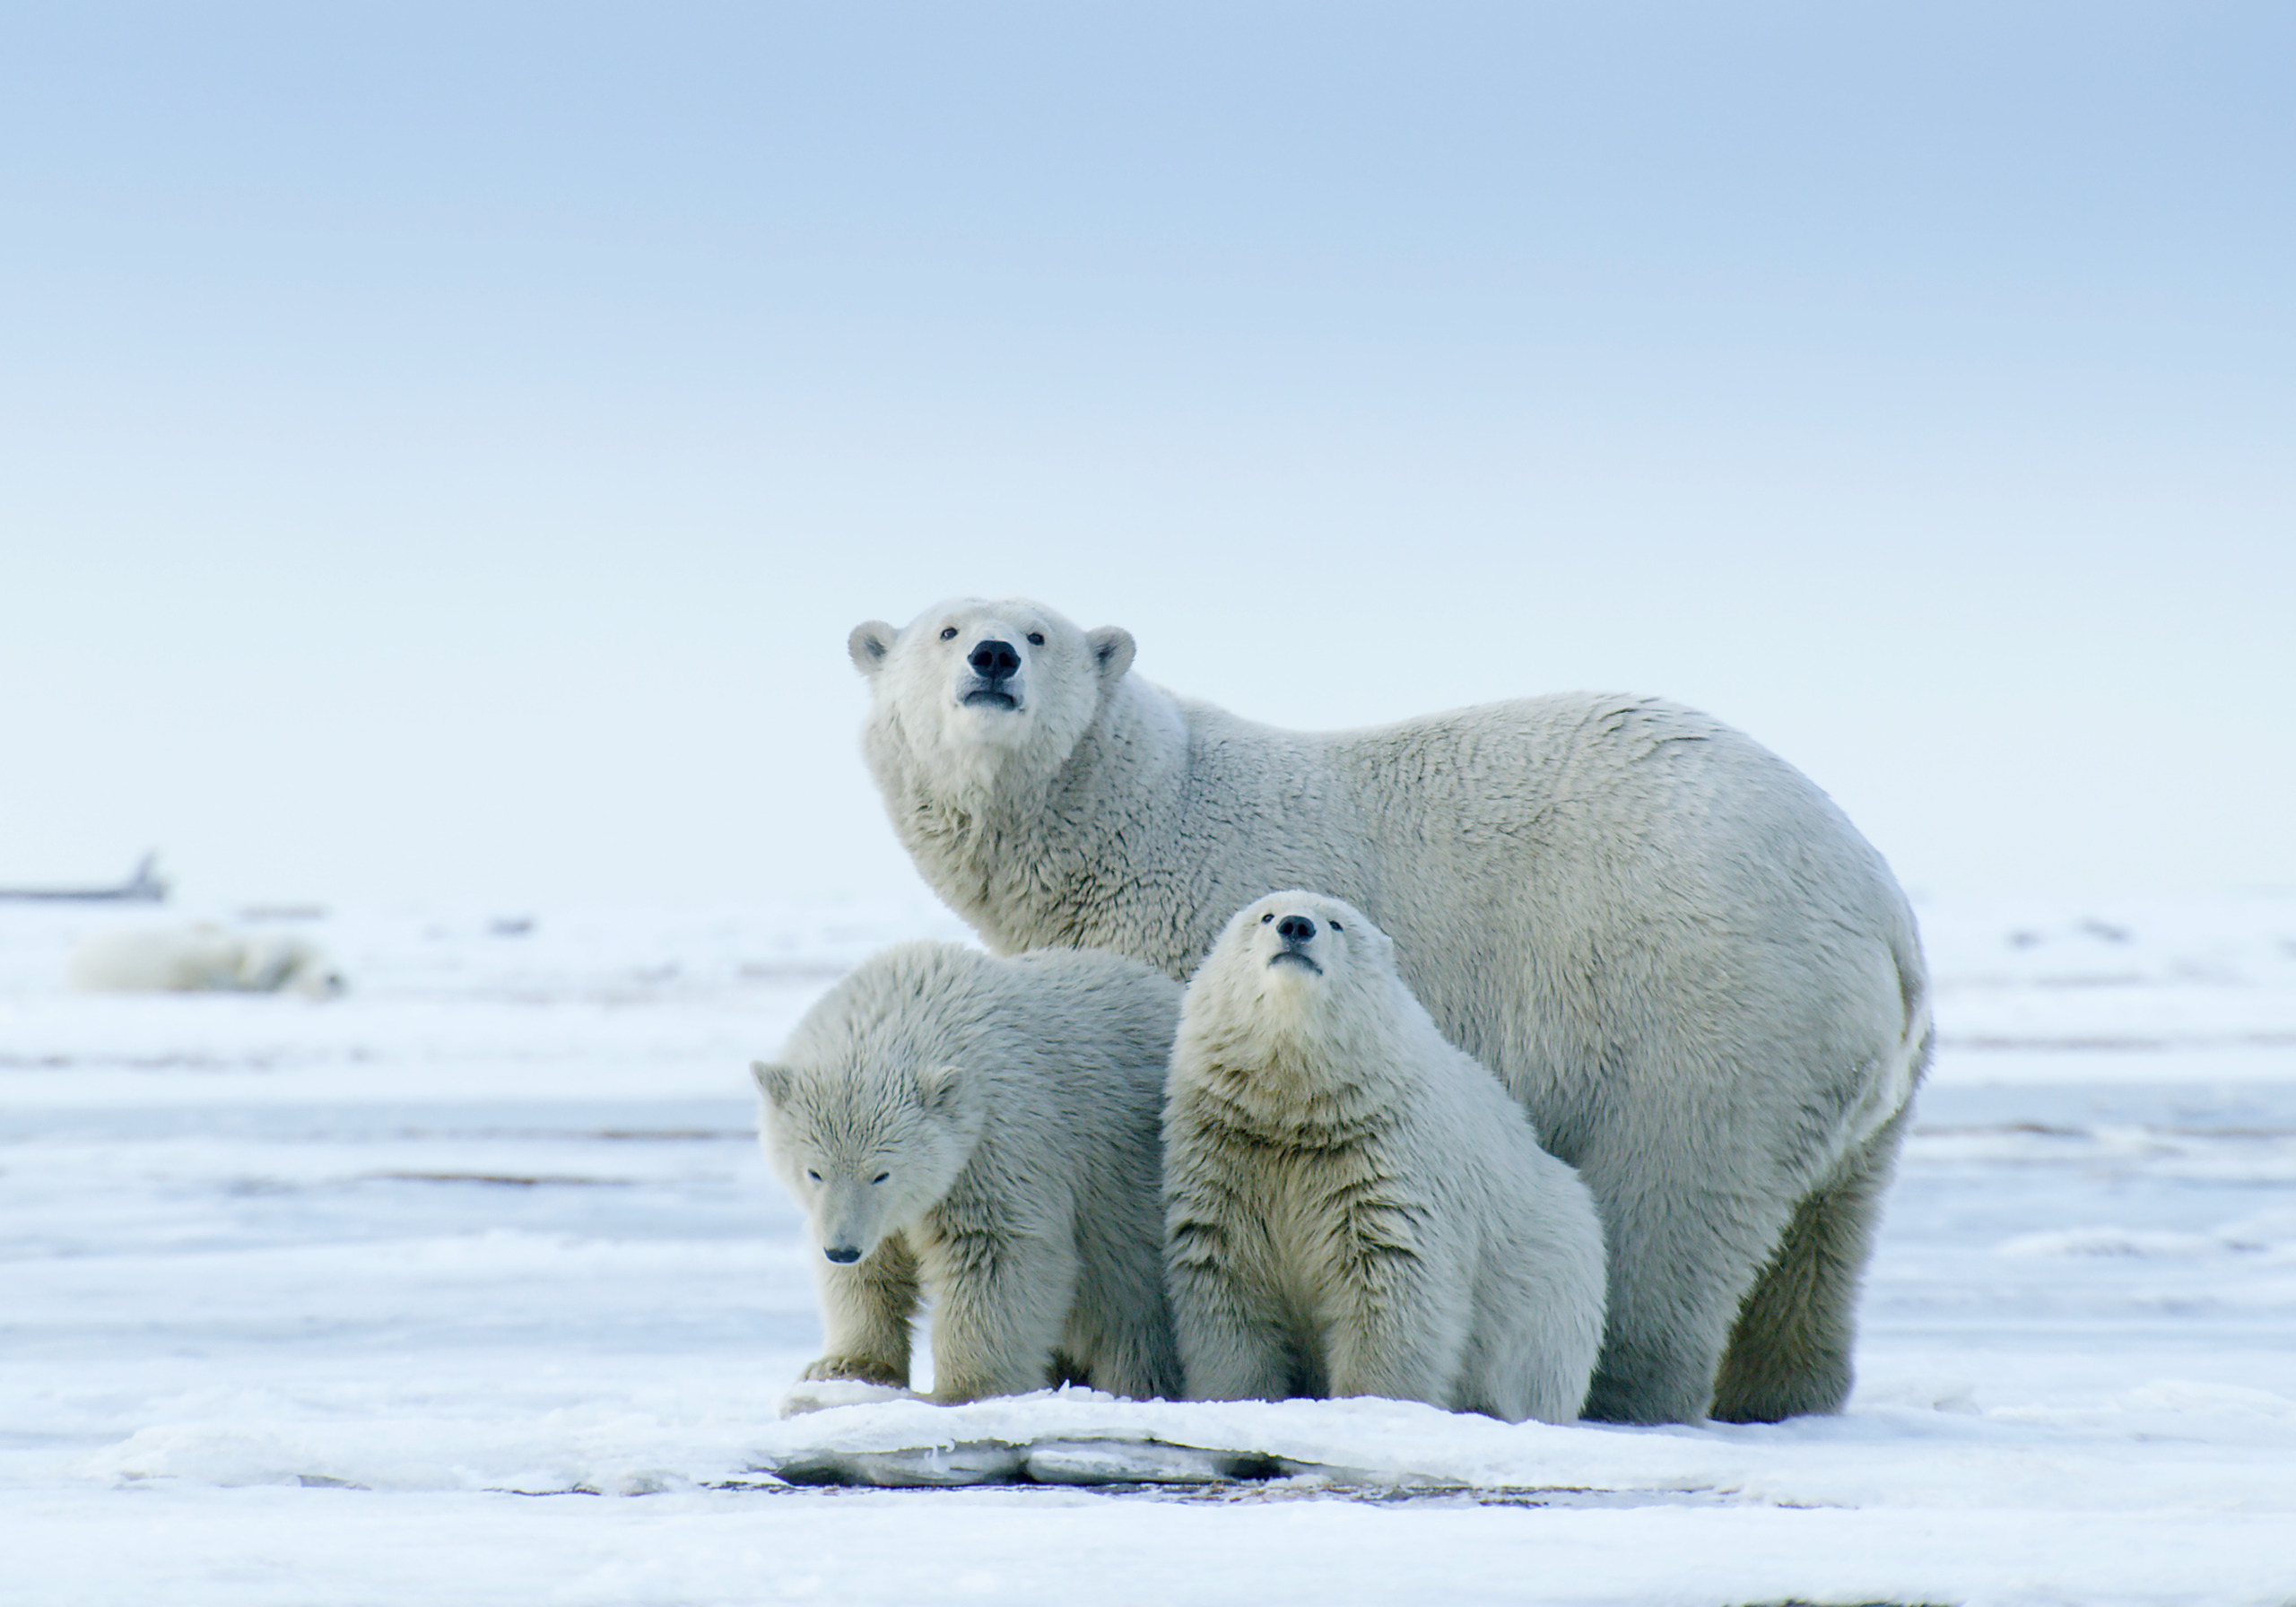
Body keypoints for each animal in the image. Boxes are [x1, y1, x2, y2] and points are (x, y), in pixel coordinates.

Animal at [752, 941, 1184, 1404]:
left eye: (882, 1174)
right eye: (814, 1172)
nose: (842, 1249)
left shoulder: (997, 1142)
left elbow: (993, 1250)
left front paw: (966, 1389)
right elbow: (874, 1269)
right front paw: (846, 1366)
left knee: (1135, 1324)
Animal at [1166, 899, 1597, 1423]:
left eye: (1336, 923)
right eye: (1265, 916)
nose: (1296, 926)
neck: (1298, 1115)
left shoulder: (1382, 1163)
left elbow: (1389, 1285)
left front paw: (1371, 1405)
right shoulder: (1230, 1158)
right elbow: (1224, 1280)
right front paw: (1236, 1401)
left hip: (1555, 1285)